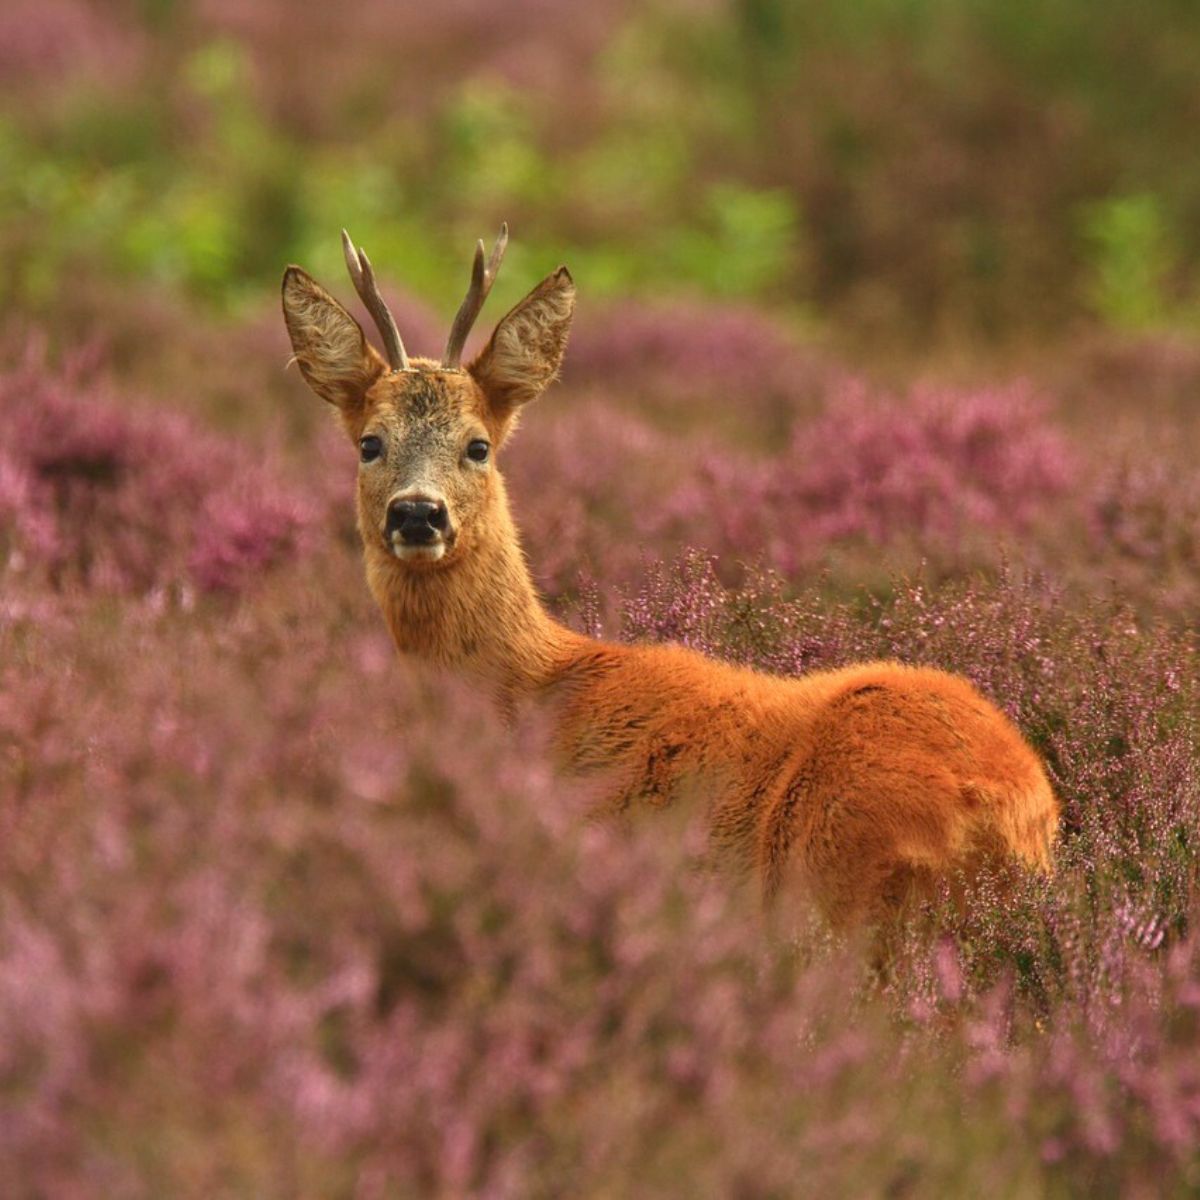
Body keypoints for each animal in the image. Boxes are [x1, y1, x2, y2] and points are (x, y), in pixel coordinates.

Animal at [281, 226, 1059, 938]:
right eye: (369, 442)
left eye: (478, 445)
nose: (417, 513)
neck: (528, 686)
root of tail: (1013, 809)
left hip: (837, 872)